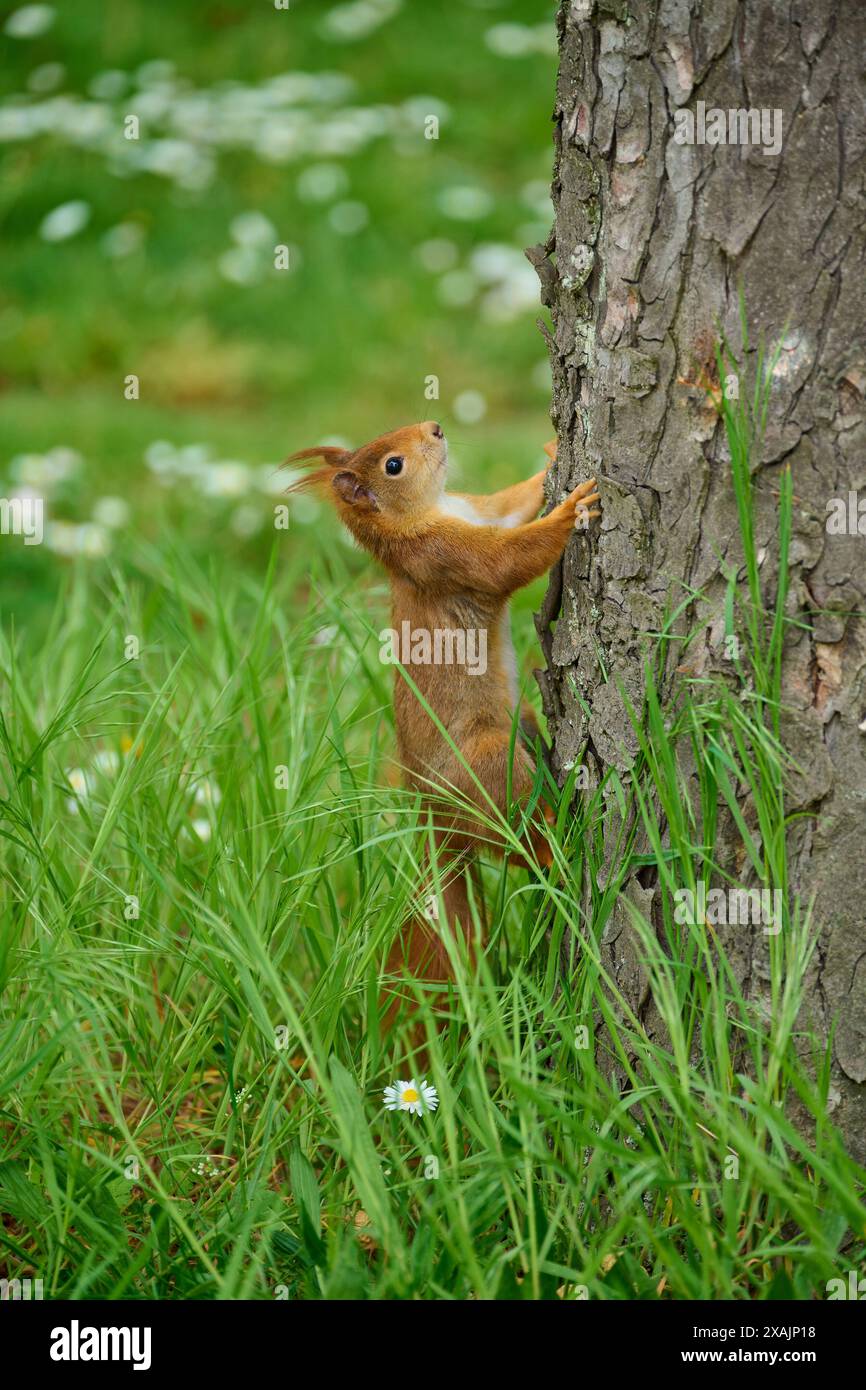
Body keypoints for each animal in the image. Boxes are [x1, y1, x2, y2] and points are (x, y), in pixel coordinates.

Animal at [287, 419, 600, 1000]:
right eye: (393, 465)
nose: (434, 426)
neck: (431, 510)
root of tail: (436, 817)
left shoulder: (480, 512)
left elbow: (513, 504)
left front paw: (551, 457)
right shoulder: (442, 557)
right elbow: (507, 560)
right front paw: (570, 510)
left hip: (519, 725)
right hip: (486, 761)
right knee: (514, 839)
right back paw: (551, 849)